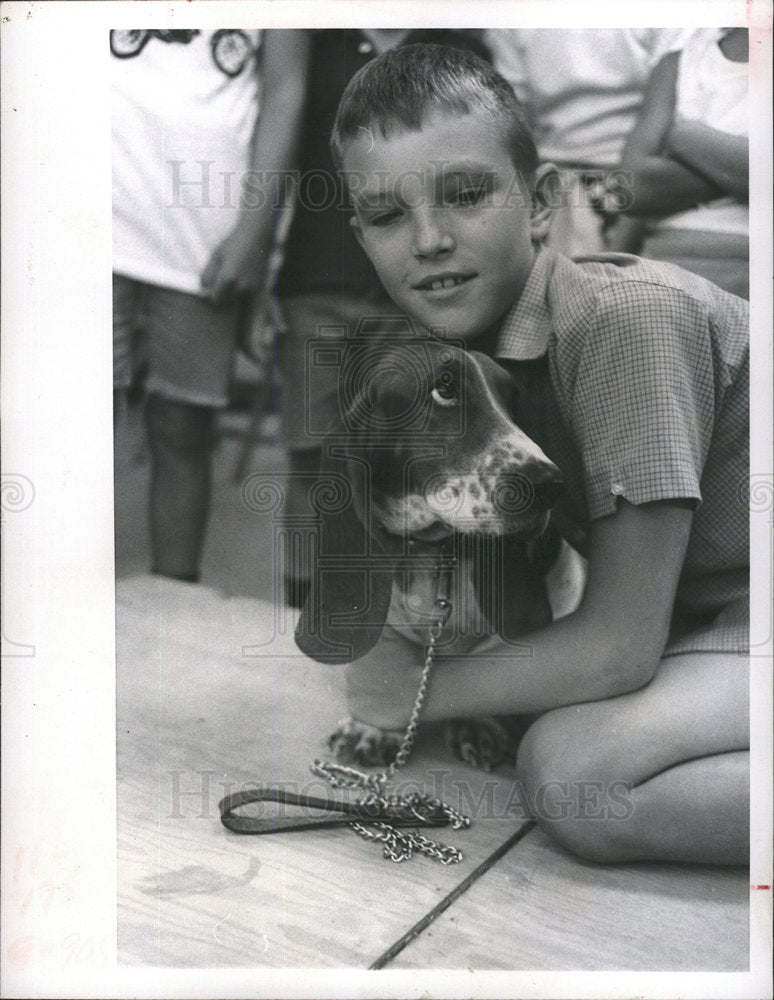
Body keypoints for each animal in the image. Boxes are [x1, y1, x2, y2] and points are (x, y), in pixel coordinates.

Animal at [298, 332, 584, 768]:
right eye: (444, 389)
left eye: (512, 399)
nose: (550, 484)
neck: (434, 551)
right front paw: (372, 729)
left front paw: (481, 725)